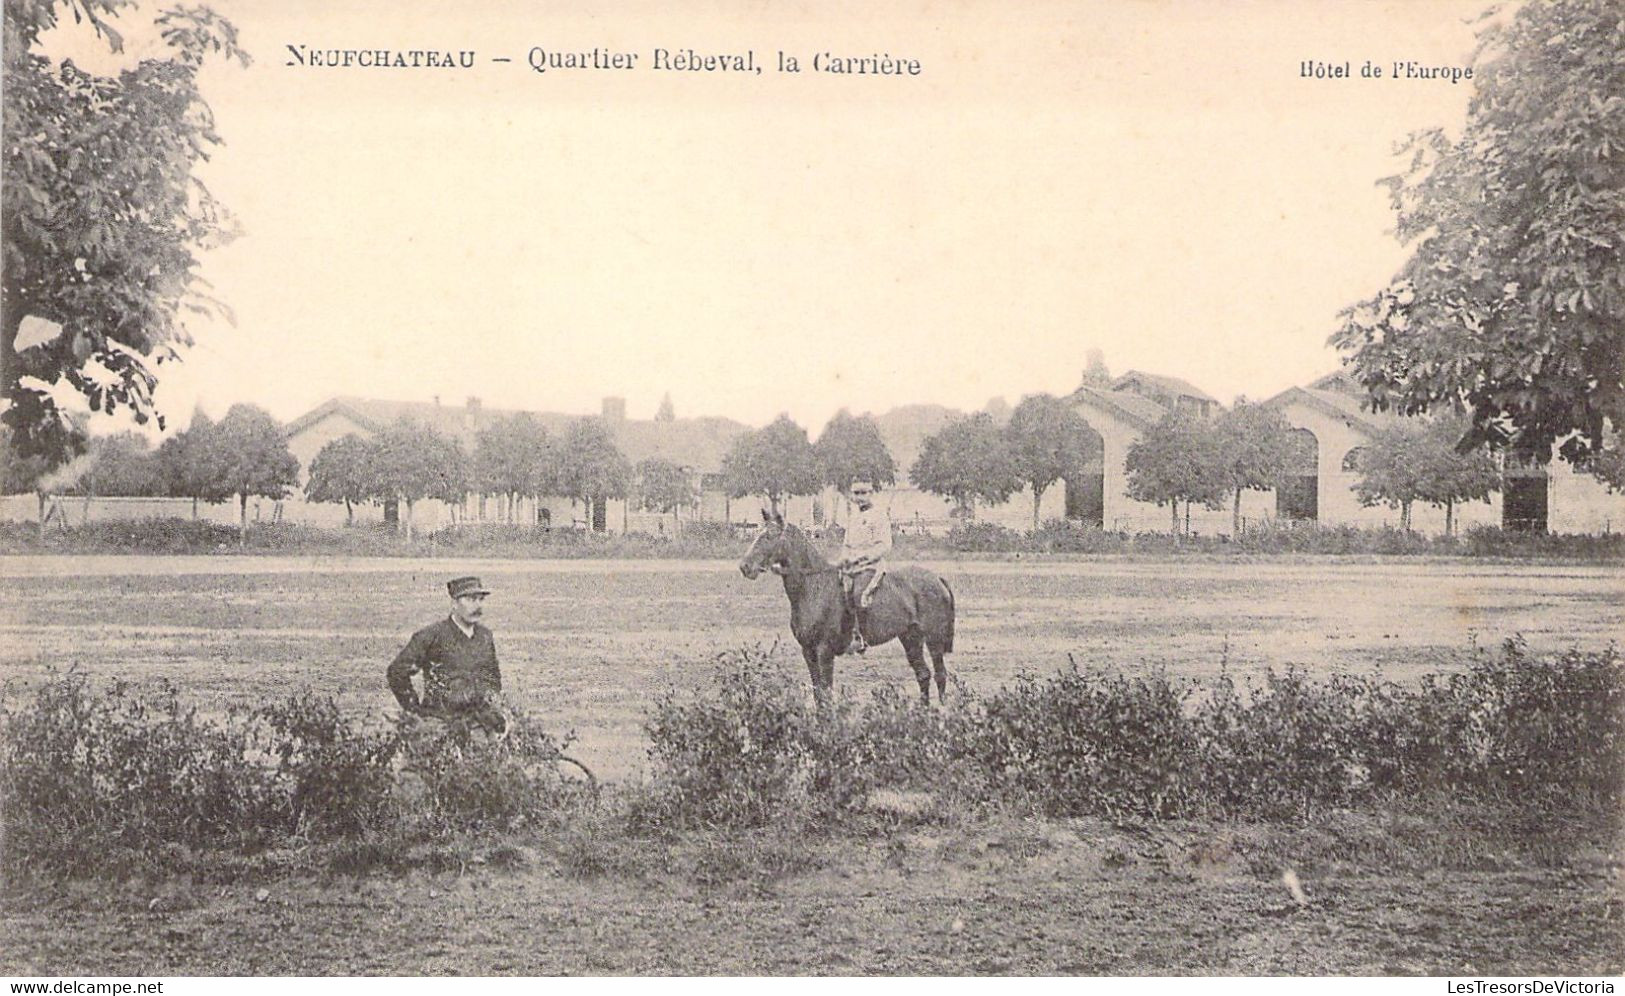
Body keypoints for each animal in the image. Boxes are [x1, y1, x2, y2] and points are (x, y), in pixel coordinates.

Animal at [737, 510, 949, 701]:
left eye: (769, 536)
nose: (745, 567)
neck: (813, 588)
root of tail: (937, 578)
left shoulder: (824, 651)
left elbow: (826, 693)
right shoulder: (808, 651)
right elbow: (818, 693)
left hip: (934, 638)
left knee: (940, 675)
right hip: (910, 637)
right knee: (923, 674)